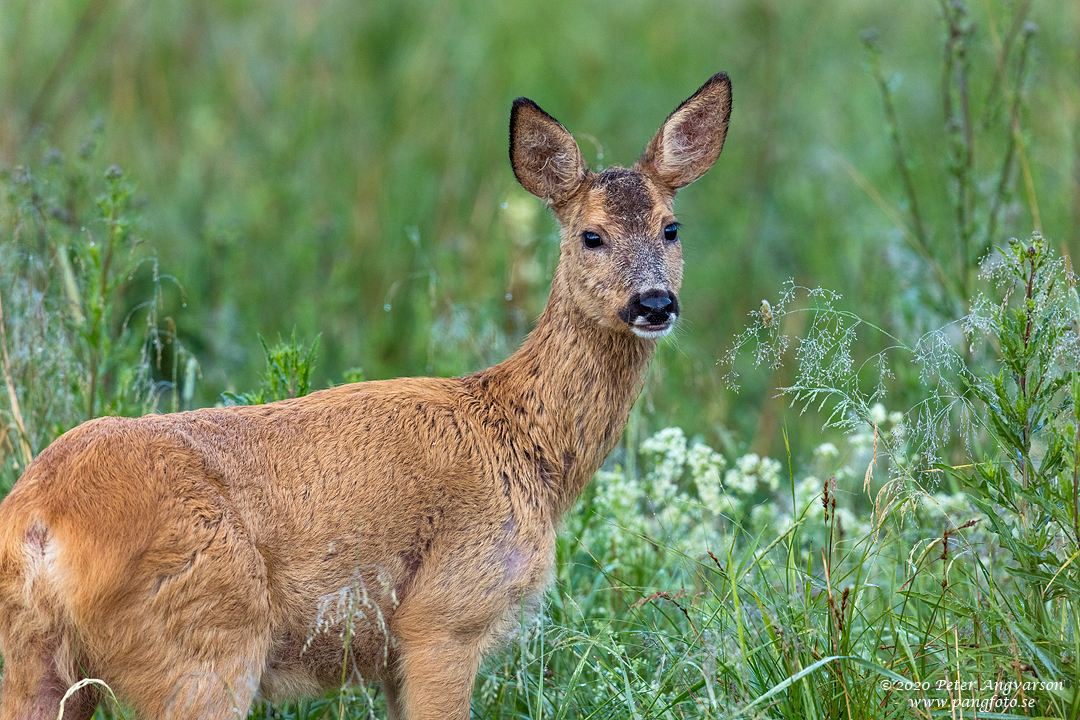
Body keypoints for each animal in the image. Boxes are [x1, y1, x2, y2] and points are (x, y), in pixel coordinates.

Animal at [0, 74, 734, 720]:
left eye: (671, 228)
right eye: (591, 235)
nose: (654, 304)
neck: (524, 449)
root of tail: (39, 519)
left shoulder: (390, 656)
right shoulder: (445, 616)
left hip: (36, 660)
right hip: (203, 642)